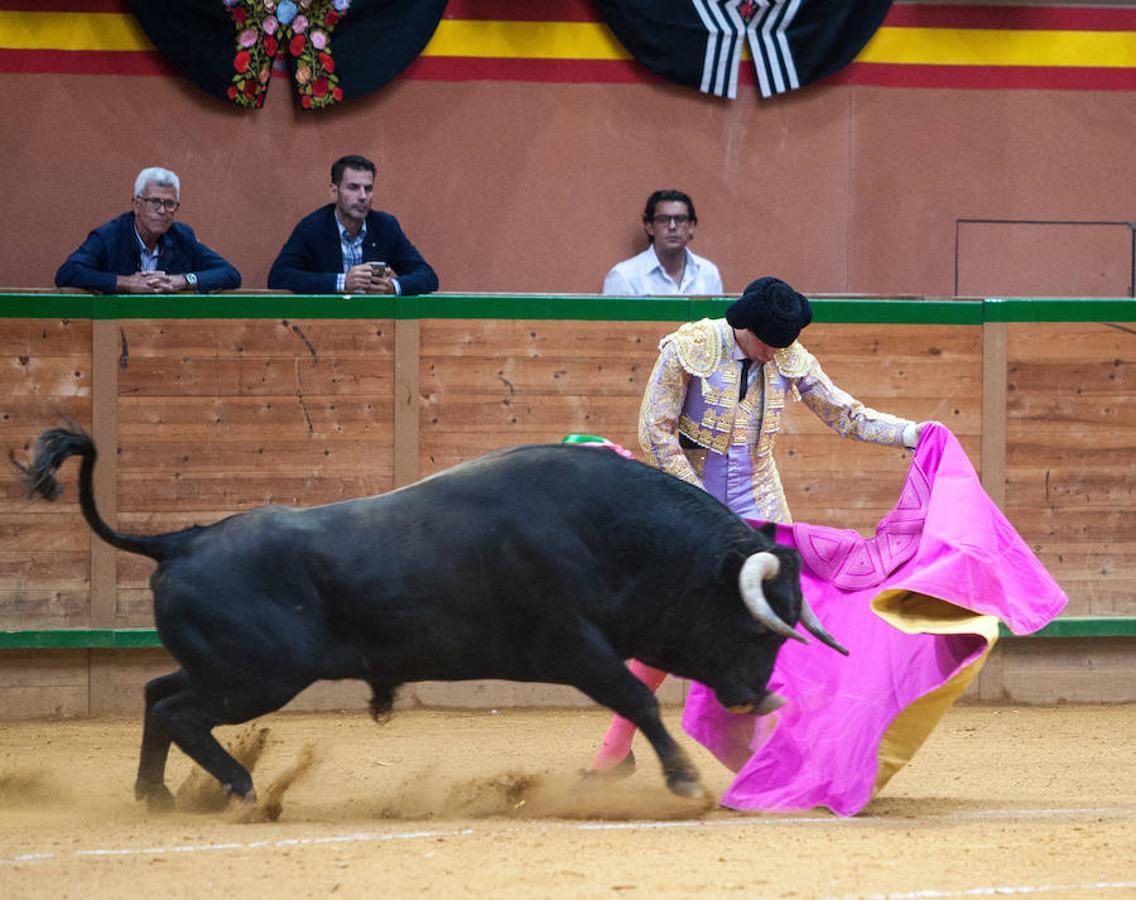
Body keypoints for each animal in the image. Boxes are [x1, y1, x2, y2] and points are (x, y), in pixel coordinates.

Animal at [15, 429, 845, 809]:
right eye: (753, 626)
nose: (756, 699)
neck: (610, 530)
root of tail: (180, 539)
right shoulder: (573, 645)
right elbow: (639, 698)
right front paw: (683, 780)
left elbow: (637, 697)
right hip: (258, 677)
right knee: (182, 712)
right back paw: (245, 791)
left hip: (225, 668)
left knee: (158, 696)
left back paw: (157, 795)